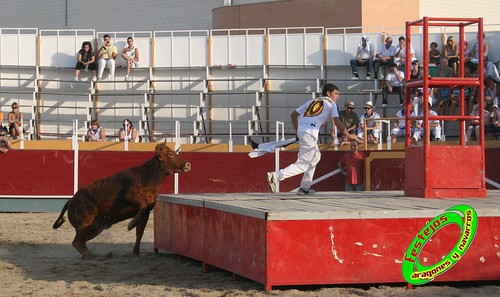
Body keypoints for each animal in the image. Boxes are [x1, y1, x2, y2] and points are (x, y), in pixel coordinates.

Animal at [52, 141, 189, 256]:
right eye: (170, 154)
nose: (188, 164)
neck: (147, 177)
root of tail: (71, 200)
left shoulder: (146, 212)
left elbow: (140, 232)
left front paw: (135, 252)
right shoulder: (130, 196)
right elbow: (141, 206)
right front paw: (130, 225)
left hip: (95, 227)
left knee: (81, 242)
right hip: (84, 223)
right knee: (77, 242)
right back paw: (92, 256)